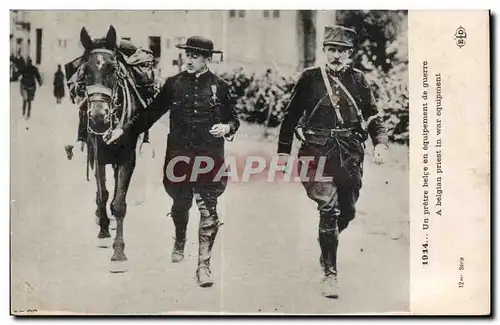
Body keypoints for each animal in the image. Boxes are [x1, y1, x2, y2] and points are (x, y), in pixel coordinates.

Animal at [77, 24, 151, 270]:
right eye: (85, 71)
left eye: (113, 69)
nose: (99, 117)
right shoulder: (98, 154)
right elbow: (103, 194)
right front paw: (103, 230)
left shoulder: (127, 158)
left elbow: (119, 203)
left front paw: (119, 252)